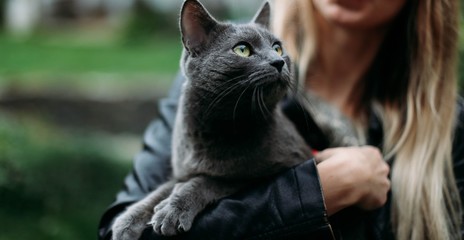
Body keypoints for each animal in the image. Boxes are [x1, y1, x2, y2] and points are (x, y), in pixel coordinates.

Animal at [111, 0, 312, 239]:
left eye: (277, 47)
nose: (279, 61)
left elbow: (212, 180)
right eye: (242, 49)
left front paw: (172, 210)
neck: (218, 128)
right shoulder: (183, 170)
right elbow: (161, 189)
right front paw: (127, 221)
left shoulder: (281, 166)